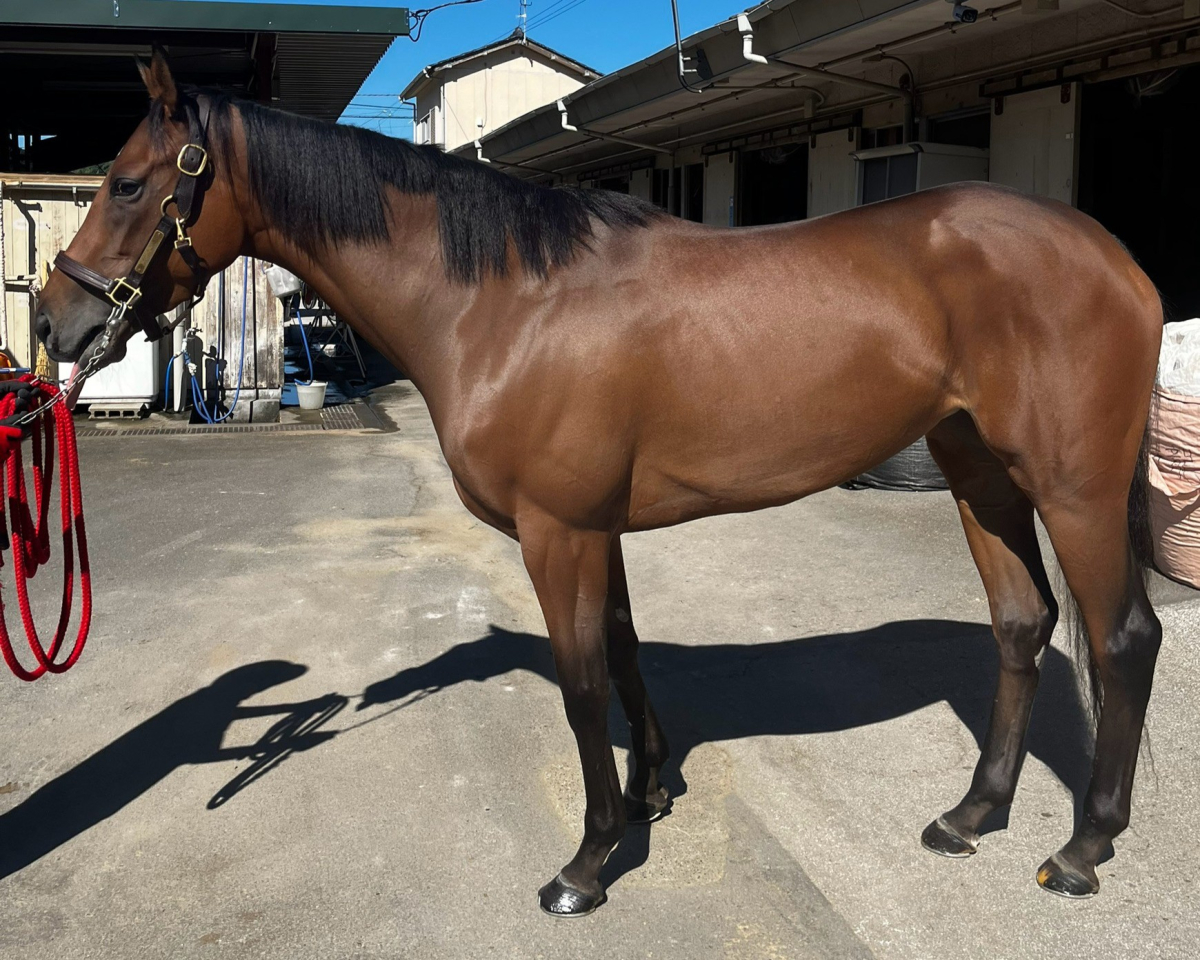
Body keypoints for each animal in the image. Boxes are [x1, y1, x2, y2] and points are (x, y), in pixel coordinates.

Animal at [36, 51, 1164, 916]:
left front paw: (587, 861)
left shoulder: (559, 531)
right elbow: (621, 652)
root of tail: (1112, 255)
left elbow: (581, 685)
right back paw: (971, 814)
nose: (54, 324)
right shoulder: (597, 529)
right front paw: (648, 793)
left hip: (1072, 487)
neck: (505, 301)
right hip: (979, 473)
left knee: (1121, 641)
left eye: (127, 183)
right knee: (1022, 624)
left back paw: (1082, 850)